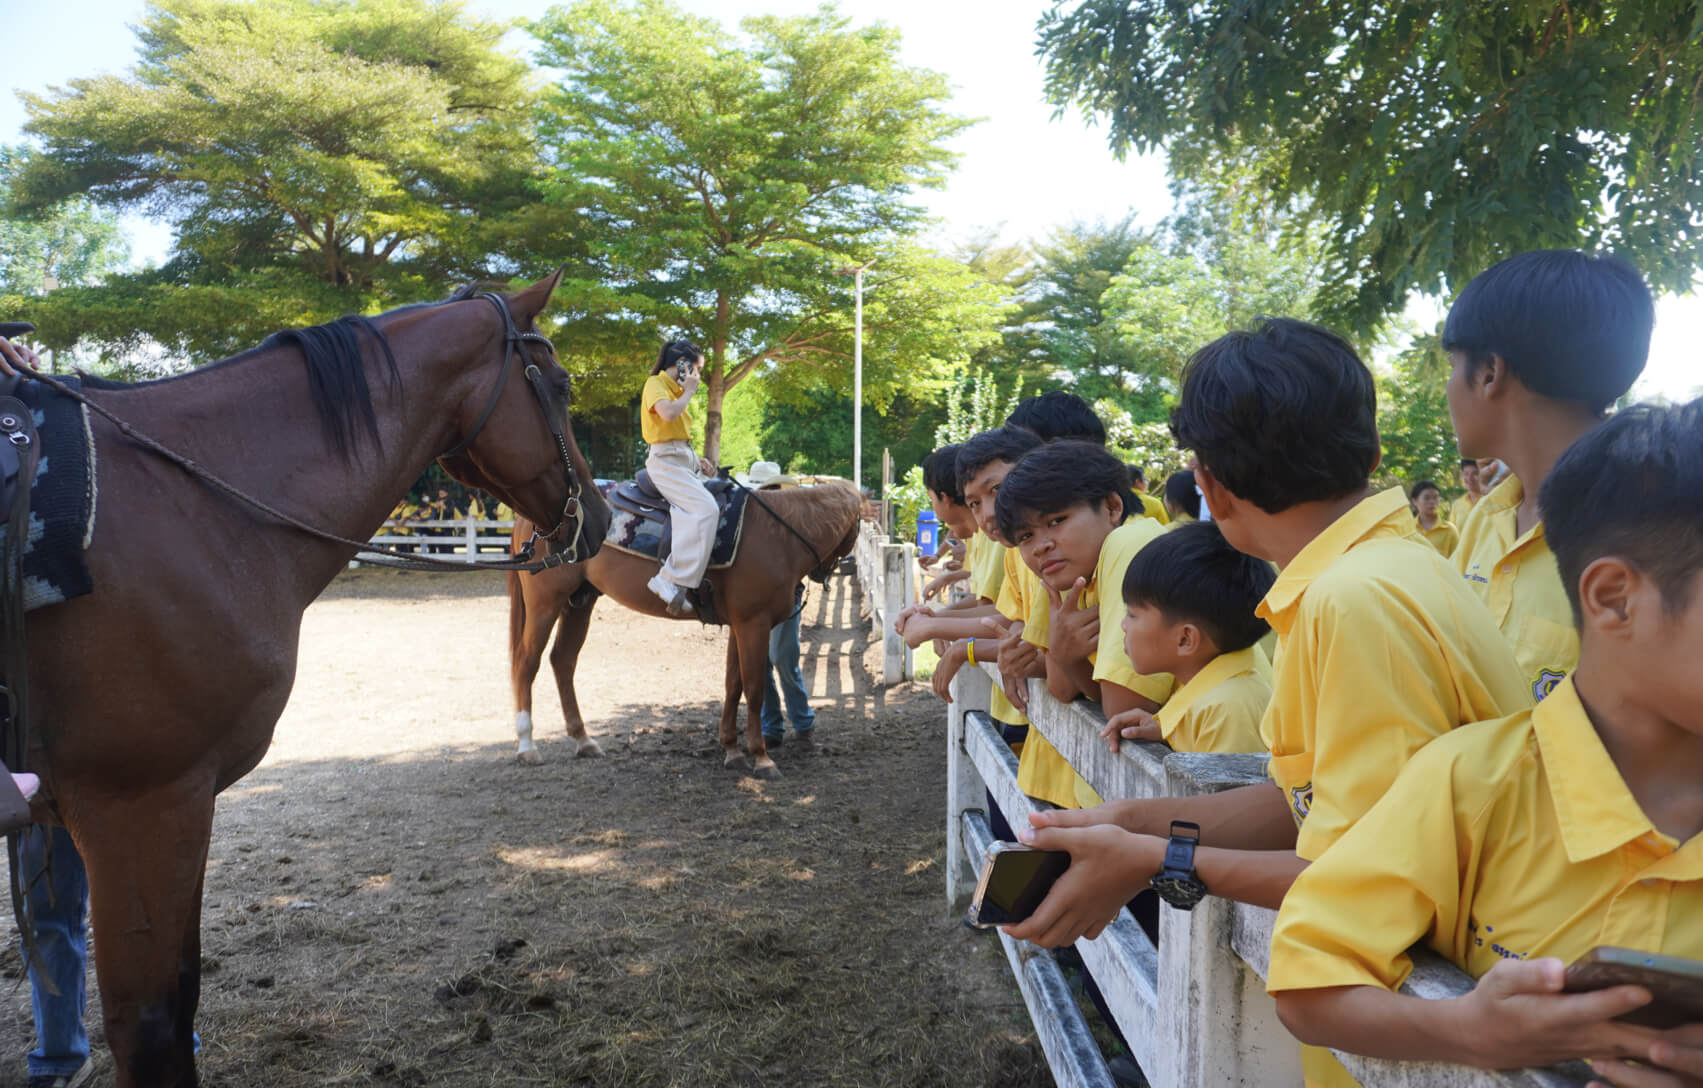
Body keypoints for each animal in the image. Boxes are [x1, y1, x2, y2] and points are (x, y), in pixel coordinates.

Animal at [18, 271, 612, 1087]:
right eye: (557, 384)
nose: (603, 516)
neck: (192, 505)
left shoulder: (187, 805)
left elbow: (186, 990)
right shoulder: (137, 811)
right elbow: (149, 1026)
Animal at [506, 481, 862, 778]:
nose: (842, 568)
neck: (778, 536)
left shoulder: (739, 626)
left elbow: (733, 685)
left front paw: (732, 749)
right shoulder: (753, 625)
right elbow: (754, 689)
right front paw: (761, 758)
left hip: (580, 602)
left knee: (563, 661)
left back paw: (583, 740)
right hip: (545, 604)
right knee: (526, 663)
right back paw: (527, 745)